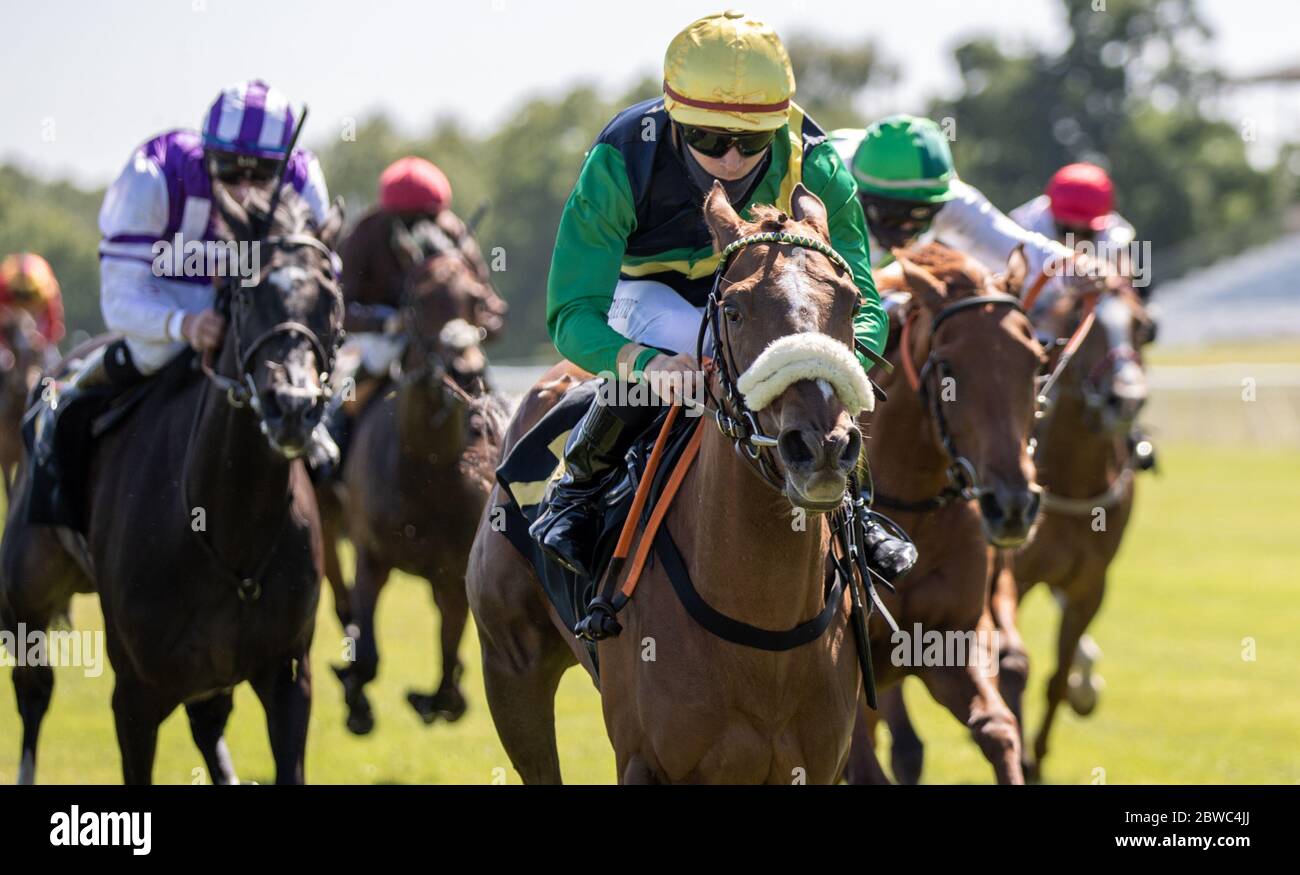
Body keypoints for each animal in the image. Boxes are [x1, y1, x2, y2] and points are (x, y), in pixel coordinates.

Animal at [0, 185, 345, 785]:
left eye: (329, 297)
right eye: (247, 297)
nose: (292, 406)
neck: (226, 530)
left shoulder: (287, 677)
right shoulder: (135, 695)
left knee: (207, 723)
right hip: (28, 596)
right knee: (34, 691)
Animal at [330, 249, 506, 733]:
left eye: (474, 298)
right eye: (419, 301)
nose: (465, 371)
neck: (425, 467)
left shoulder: (452, 572)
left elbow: (448, 655)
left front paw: (439, 696)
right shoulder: (372, 557)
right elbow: (368, 654)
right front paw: (357, 700)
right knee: (336, 588)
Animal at [467, 185, 873, 785]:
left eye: (852, 304)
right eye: (734, 309)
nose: (821, 445)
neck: (763, 619)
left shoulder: (820, 765)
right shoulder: (644, 760)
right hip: (510, 670)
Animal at [987, 286, 1154, 780]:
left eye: (1141, 325)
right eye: (1086, 324)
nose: (1126, 399)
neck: (1073, 479)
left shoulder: (1090, 583)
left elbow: (1057, 679)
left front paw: (1036, 758)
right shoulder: (1014, 577)